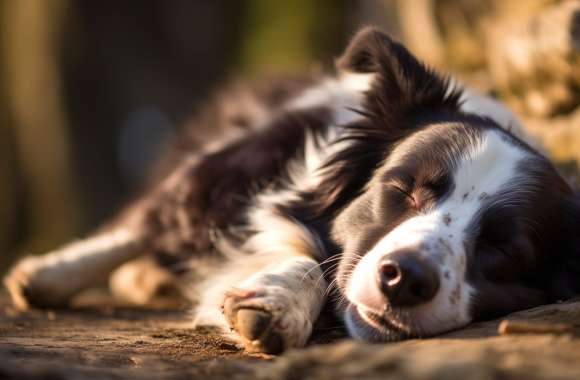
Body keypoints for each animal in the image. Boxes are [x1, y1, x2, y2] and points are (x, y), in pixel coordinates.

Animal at [4, 28, 580, 354]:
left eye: (504, 249)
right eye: (401, 188)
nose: (405, 280)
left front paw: (272, 302)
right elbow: (306, 256)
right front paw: (277, 297)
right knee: (154, 216)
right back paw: (52, 275)